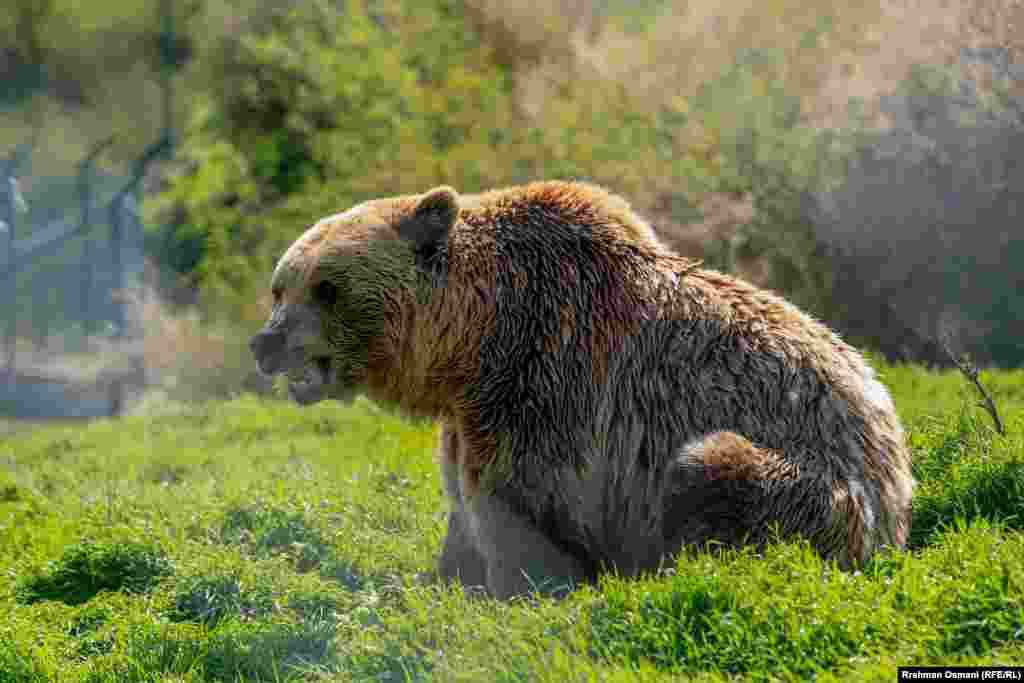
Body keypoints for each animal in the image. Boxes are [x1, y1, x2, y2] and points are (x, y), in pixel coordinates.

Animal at [251, 180, 917, 598]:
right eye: (281, 285)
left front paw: (516, 593)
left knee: (711, 467)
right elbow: (461, 508)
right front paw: (427, 582)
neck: (474, 340)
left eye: (327, 287)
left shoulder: (545, 384)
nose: (265, 342)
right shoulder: (468, 414)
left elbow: (518, 513)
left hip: (816, 486)